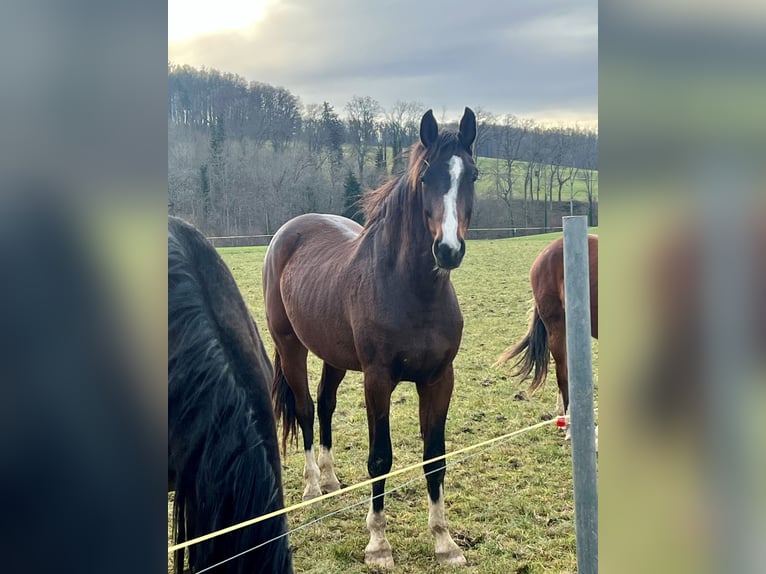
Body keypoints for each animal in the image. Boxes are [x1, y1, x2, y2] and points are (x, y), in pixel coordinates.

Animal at [268, 109, 476, 572]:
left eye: (472, 175)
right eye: (425, 178)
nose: (448, 250)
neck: (412, 291)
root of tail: (289, 231)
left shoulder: (439, 380)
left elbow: (435, 458)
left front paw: (444, 542)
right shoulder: (377, 381)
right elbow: (380, 457)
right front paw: (379, 545)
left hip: (334, 357)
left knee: (325, 404)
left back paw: (330, 479)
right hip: (291, 347)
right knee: (306, 408)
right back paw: (312, 486)